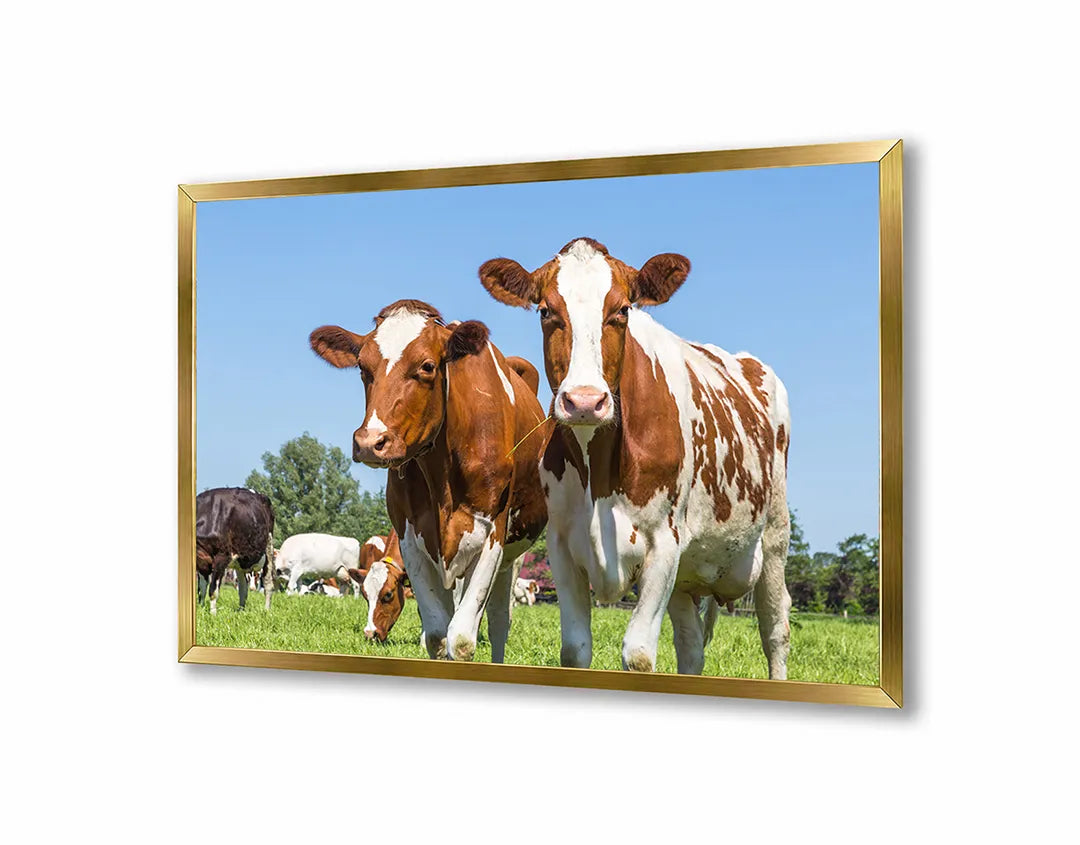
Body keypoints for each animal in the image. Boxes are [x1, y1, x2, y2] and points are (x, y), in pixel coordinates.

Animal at [310, 299, 547, 662]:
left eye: (427, 366)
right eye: (363, 367)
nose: (370, 442)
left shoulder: (491, 535)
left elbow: (461, 639)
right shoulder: (413, 538)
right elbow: (437, 633)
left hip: (513, 554)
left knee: (499, 620)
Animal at [479, 238, 792, 678]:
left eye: (623, 310)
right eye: (545, 310)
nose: (585, 402)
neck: (599, 476)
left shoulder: (665, 543)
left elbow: (639, 655)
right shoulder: (562, 544)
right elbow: (575, 649)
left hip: (775, 538)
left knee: (775, 630)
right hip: (688, 575)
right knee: (691, 647)